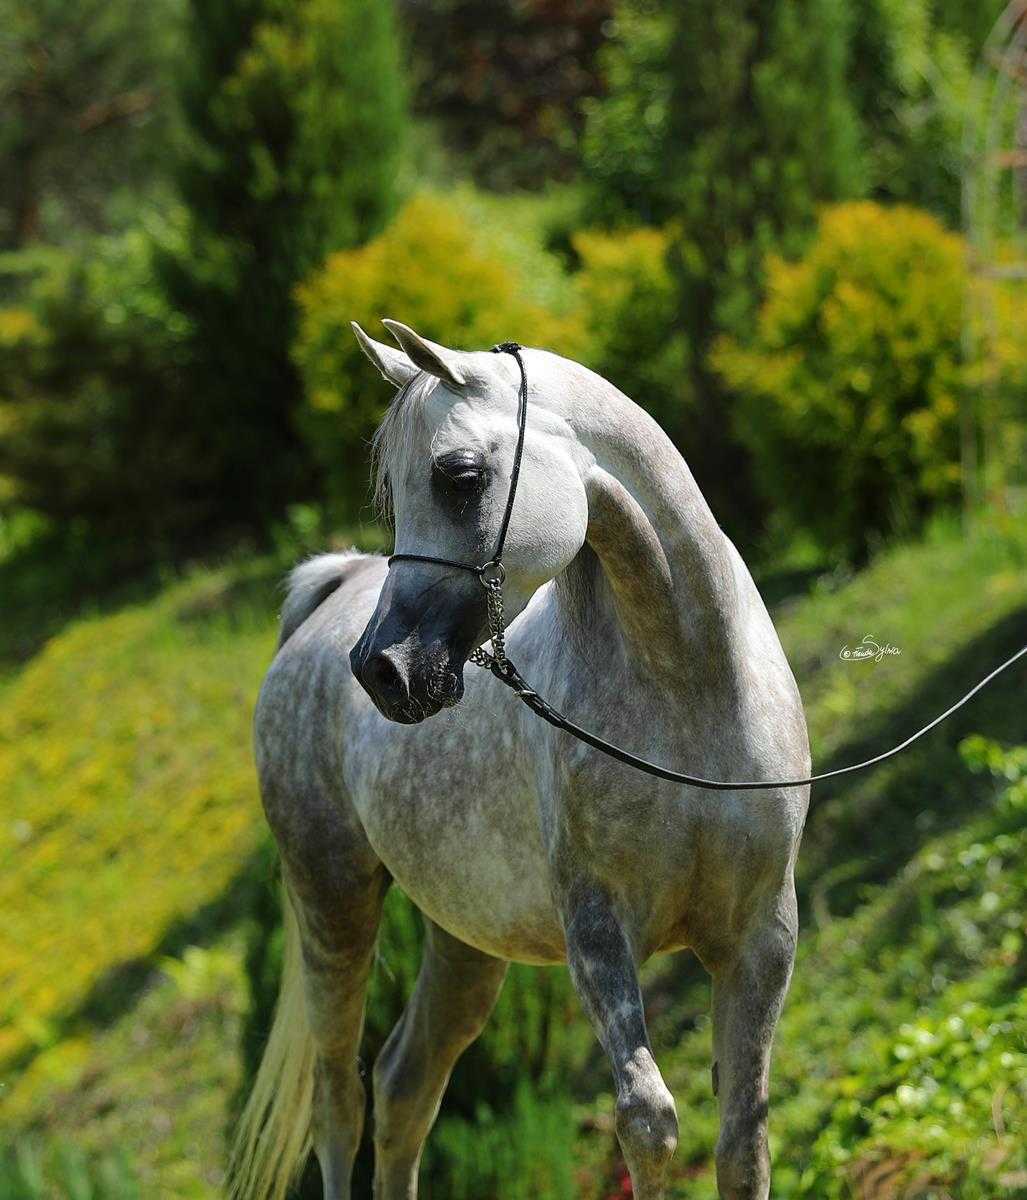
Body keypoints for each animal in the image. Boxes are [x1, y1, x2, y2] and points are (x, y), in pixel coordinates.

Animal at [230, 320, 811, 1200]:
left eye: (460, 476)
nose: (383, 670)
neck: (688, 688)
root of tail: (327, 603)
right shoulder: (597, 930)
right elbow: (647, 1123)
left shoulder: (760, 936)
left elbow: (743, 1144)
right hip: (331, 902)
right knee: (340, 1099)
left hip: (461, 942)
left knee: (403, 1087)